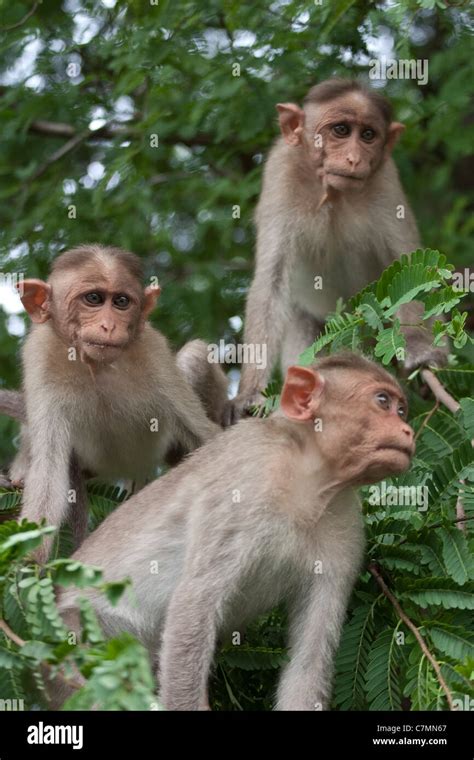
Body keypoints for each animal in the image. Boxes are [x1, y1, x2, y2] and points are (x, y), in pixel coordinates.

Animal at [1, 246, 228, 560]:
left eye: (121, 302)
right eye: (93, 299)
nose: (109, 326)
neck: (96, 367)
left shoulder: (152, 351)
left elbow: (206, 437)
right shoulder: (40, 356)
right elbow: (49, 477)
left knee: (194, 355)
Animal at [57, 354, 414, 708]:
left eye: (400, 410)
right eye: (382, 401)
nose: (407, 430)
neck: (308, 482)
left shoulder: (346, 527)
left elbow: (309, 663)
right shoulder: (246, 480)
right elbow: (193, 604)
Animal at [224, 79, 446, 424]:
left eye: (368, 135)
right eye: (340, 130)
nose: (354, 158)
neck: (333, 194)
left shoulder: (385, 181)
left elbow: (410, 264)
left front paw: (421, 350)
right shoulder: (280, 174)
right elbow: (271, 281)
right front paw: (248, 393)